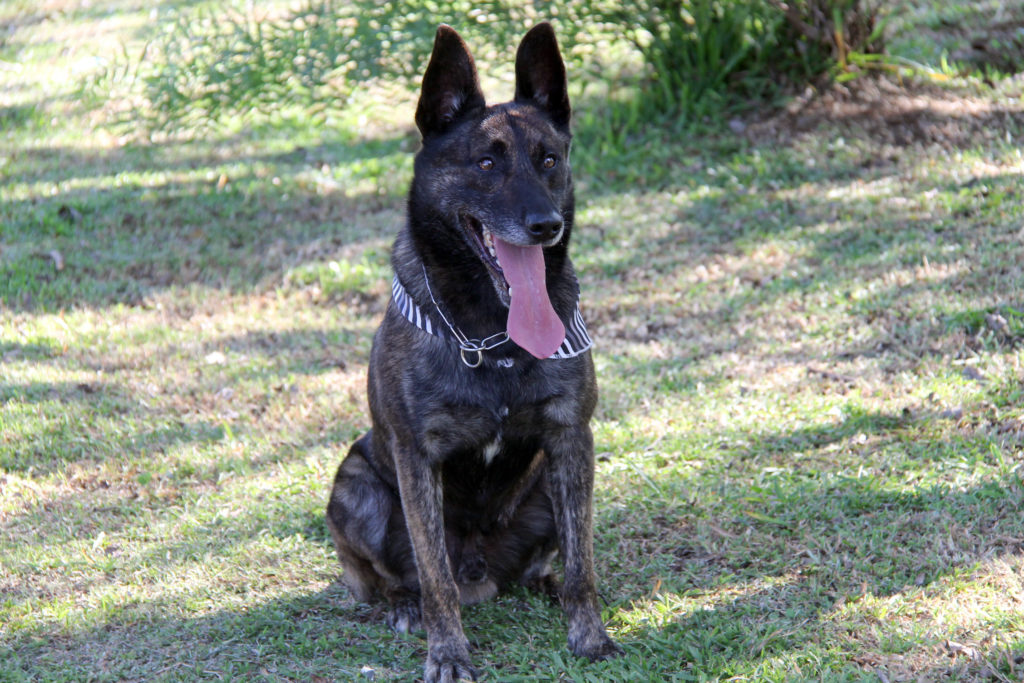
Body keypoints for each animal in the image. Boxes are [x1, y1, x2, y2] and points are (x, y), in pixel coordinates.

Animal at [325, 22, 622, 683]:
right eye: (486, 163)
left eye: (549, 160)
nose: (545, 226)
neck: (494, 332)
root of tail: (482, 575)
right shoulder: (416, 459)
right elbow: (434, 577)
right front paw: (448, 653)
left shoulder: (571, 438)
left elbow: (583, 564)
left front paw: (589, 636)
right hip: (355, 483)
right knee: (393, 577)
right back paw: (404, 604)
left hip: (547, 488)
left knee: (553, 558)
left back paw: (542, 583)